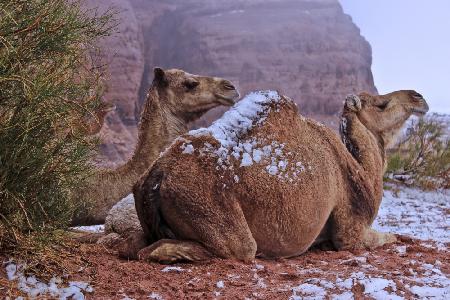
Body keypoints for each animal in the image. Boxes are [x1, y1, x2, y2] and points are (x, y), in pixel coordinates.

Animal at [133, 89, 428, 262]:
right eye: (381, 104)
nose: (418, 97)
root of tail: (156, 176)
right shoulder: (349, 231)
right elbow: (388, 237)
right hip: (209, 209)